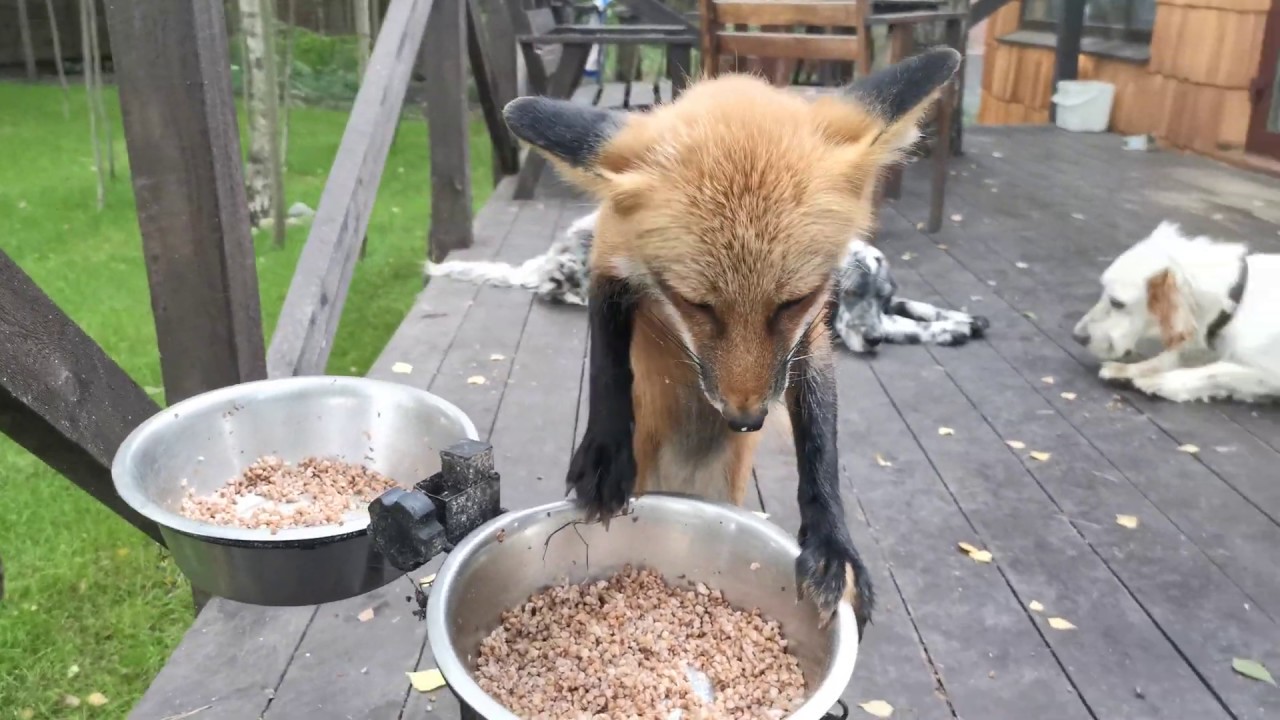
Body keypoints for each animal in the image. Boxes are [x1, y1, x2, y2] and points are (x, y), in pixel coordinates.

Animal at [501, 48, 962, 631]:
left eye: (792, 301)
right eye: (694, 304)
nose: (746, 420)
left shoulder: (809, 336)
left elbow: (821, 436)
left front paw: (832, 543)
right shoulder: (608, 257)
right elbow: (608, 366)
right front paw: (605, 454)